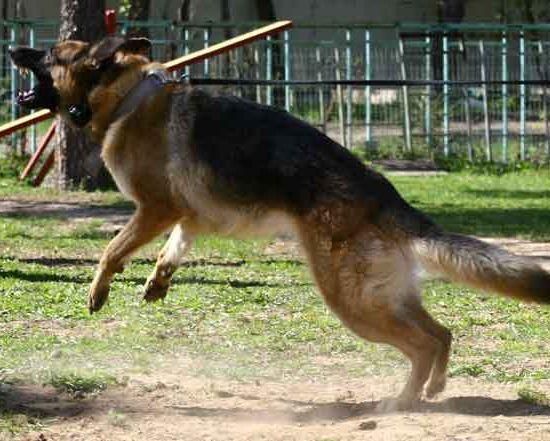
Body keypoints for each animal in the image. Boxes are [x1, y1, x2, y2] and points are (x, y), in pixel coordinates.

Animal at [8, 37, 550, 410]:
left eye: (50, 54)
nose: (14, 47)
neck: (124, 96)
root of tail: (386, 197)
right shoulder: (188, 214)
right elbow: (177, 243)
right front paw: (159, 276)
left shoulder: (155, 208)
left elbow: (111, 248)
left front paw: (99, 288)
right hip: (381, 295)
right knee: (441, 333)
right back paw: (432, 388)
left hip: (351, 300)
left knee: (422, 343)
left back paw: (401, 401)